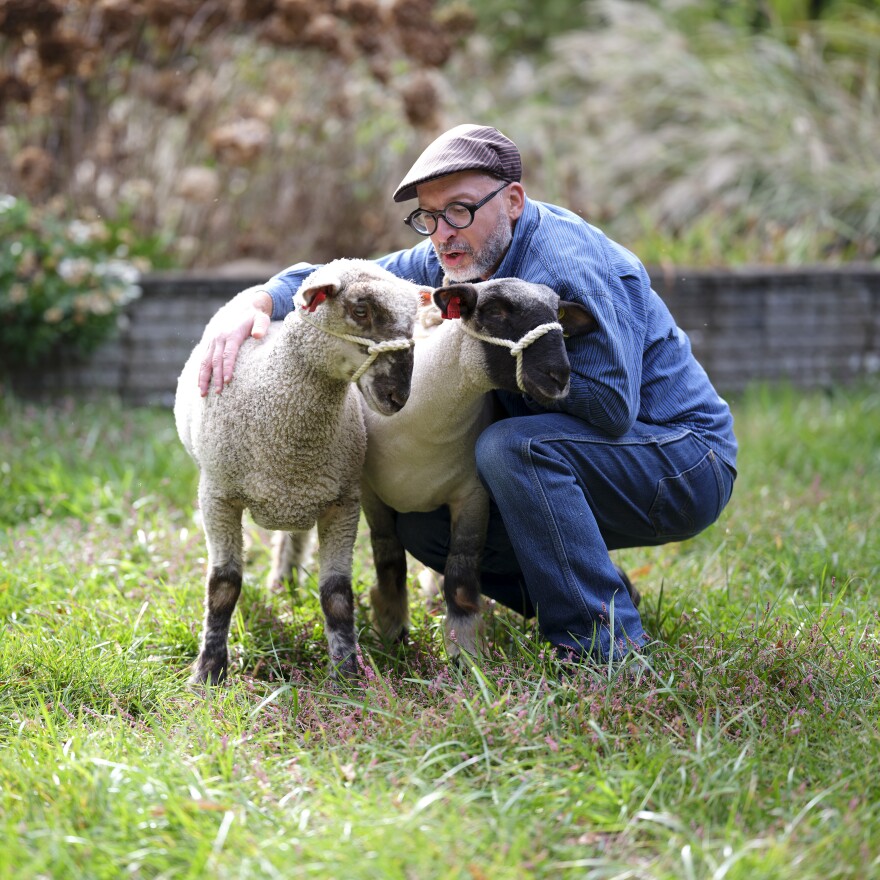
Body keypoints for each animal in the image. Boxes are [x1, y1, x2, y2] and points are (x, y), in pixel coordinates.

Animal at [174, 259, 423, 683]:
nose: (399, 395)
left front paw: (346, 674)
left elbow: (337, 594)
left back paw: (285, 581)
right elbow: (223, 586)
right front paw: (208, 673)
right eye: (360, 310)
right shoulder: (217, 498)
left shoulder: (343, 503)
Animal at [359, 278, 597, 658]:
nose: (559, 376)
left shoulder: (472, 497)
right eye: (494, 310)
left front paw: (465, 654)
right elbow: (389, 562)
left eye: (559, 314)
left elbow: (461, 575)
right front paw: (393, 638)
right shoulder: (371, 496)